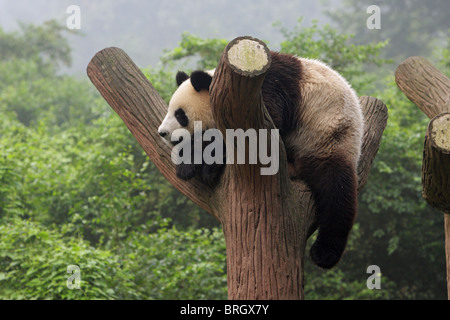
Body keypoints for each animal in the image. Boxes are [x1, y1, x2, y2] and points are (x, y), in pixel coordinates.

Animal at [158, 52, 366, 268]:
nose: (162, 132)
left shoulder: (262, 94)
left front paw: (208, 167)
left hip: (326, 136)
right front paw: (187, 165)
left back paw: (324, 253)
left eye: (180, 115)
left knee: (336, 190)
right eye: (170, 110)